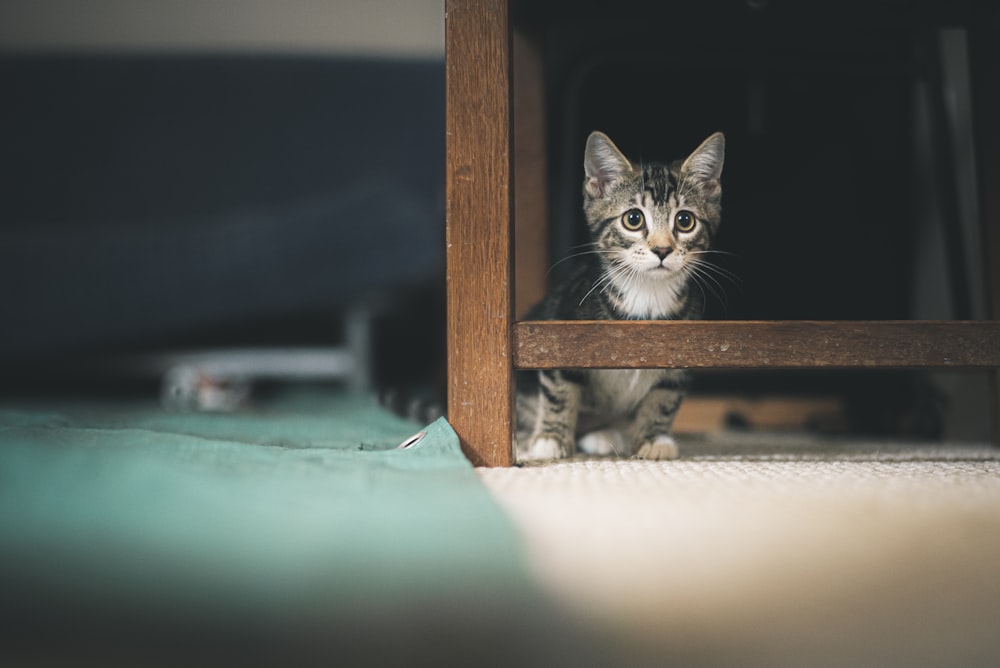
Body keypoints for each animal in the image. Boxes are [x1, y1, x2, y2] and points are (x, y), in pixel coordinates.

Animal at [520, 133, 724, 462]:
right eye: (633, 219)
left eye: (684, 220)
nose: (662, 249)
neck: (647, 296)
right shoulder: (557, 330)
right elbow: (559, 390)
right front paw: (550, 438)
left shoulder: (681, 356)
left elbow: (664, 400)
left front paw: (653, 439)